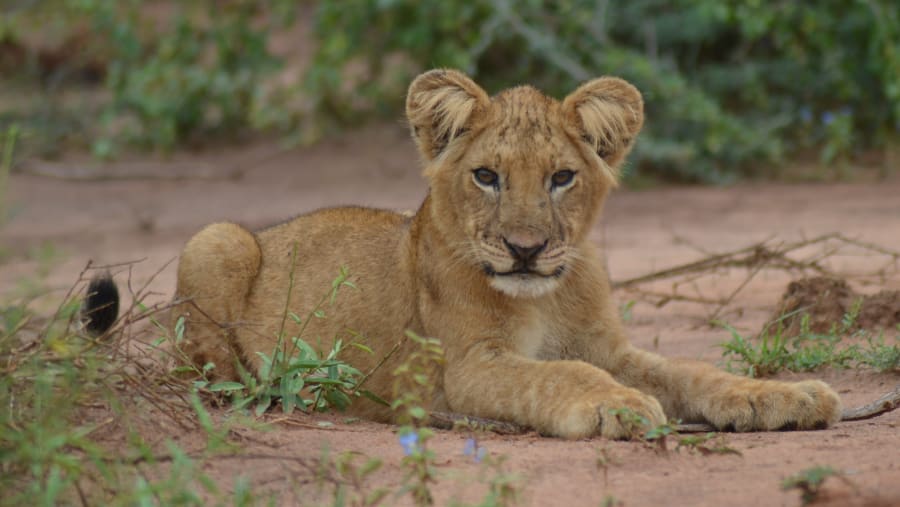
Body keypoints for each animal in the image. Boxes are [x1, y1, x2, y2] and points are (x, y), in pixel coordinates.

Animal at [85, 69, 842, 439]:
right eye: (486, 175)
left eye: (561, 177)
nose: (526, 249)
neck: (547, 295)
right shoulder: (465, 369)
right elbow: (561, 375)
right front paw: (617, 408)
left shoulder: (611, 347)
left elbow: (690, 371)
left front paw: (784, 395)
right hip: (218, 239)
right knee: (207, 370)